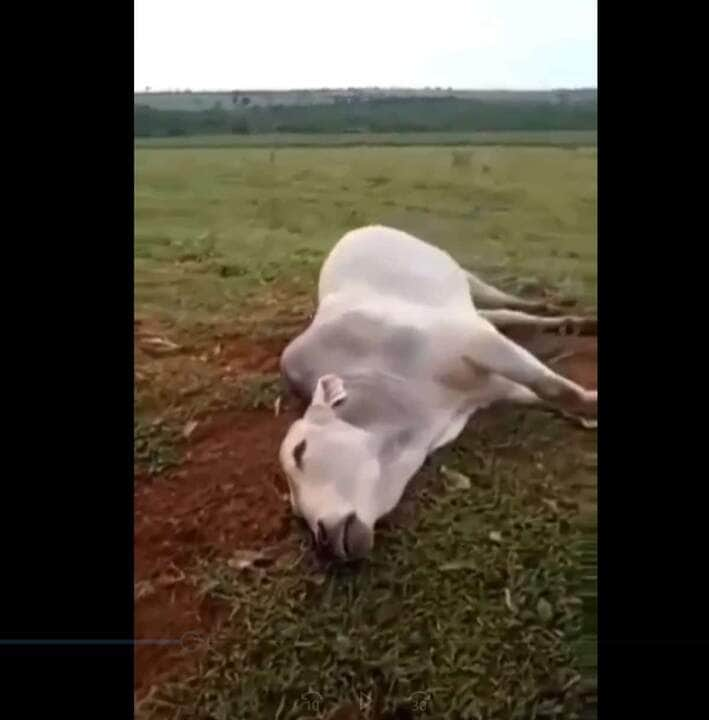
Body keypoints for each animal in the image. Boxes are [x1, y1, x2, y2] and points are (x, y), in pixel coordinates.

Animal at [280, 225, 596, 564]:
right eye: (295, 510)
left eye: (300, 451)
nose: (323, 538)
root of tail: (361, 230)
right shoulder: (494, 385)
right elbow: (551, 394)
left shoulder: (475, 342)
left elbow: (554, 387)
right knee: (503, 314)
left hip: (462, 275)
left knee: (503, 301)